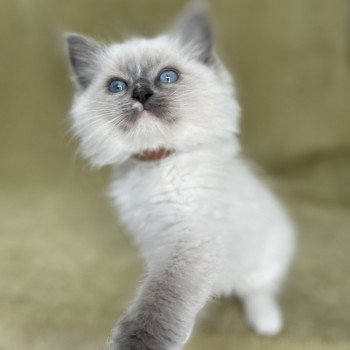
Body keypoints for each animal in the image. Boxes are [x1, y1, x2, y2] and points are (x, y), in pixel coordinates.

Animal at [65, 3, 292, 350]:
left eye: (167, 77)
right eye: (117, 86)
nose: (141, 93)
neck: (158, 164)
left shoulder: (191, 243)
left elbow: (162, 301)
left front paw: (135, 342)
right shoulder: (153, 241)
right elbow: (160, 288)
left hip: (265, 256)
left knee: (258, 289)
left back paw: (266, 321)